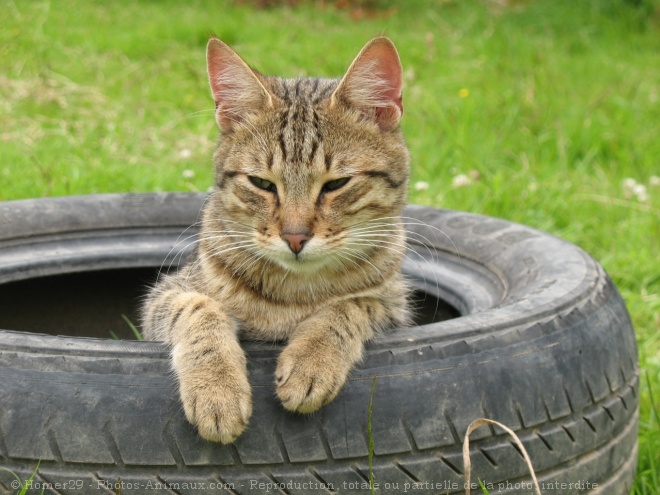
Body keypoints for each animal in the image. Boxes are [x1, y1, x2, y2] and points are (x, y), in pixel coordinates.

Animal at [142, 36, 410, 444]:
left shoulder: (394, 305)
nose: (295, 238)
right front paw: (216, 388)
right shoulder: (167, 294)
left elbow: (349, 306)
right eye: (262, 184)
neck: (295, 291)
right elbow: (198, 308)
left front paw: (312, 358)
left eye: (336, 184)